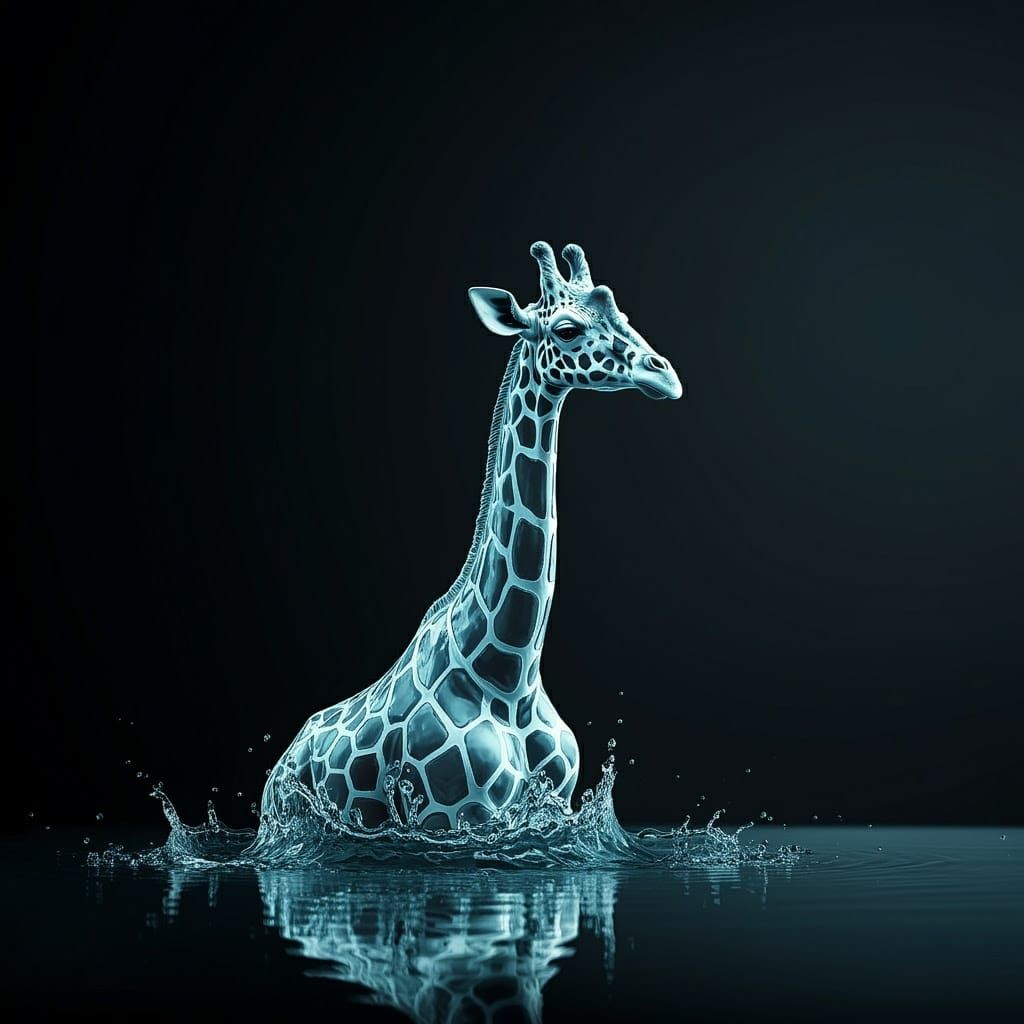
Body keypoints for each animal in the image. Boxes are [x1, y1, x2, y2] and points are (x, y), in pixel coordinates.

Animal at [260, 241, 683, 832]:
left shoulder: (550, 803)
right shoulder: (454, 813)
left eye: (620, 311)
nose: (664, 375)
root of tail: (276, 769)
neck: (510, 675)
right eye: (568, 329)